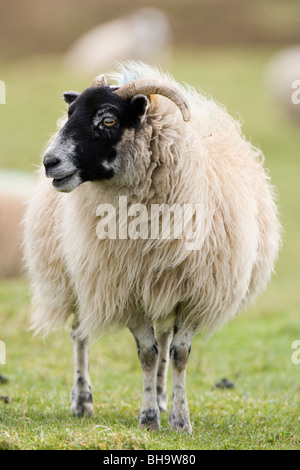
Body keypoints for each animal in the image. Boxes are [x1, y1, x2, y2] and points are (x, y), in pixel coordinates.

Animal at [22, 62, 278, 434]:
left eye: (108, 120)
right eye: (70, 113)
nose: (49, 162)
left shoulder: (193, 292)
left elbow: (178, 354)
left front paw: (180, 419)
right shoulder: (128, 289)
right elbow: (146, 354)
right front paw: (148, 419)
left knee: (165, 340)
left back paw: (160, 395)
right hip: (79, 279)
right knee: (79, 335)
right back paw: (83, 400)